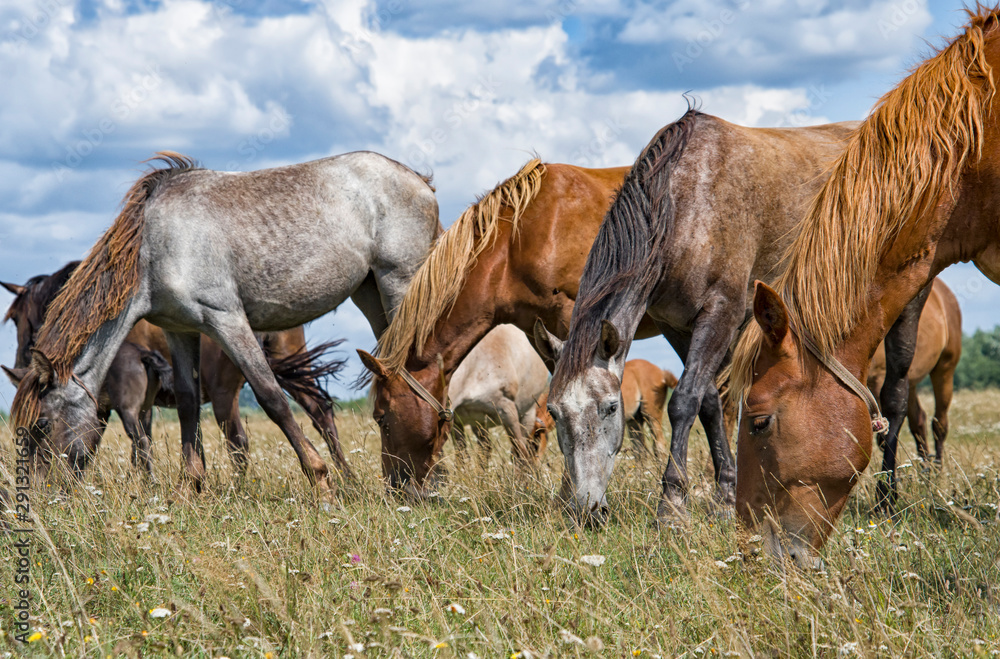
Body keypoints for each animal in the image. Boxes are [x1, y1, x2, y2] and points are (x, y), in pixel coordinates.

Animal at [4, 264, 351, 479]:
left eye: (18, 318)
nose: (22, 361)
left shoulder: (106, 403)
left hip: (226, 393)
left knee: (238, 441)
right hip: (291, 363)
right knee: (320, 412)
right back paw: (348, 479)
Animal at [448, 324, 549, 469]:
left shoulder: (508, 412)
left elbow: (521, 454)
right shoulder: (455, 420)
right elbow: (462, 457)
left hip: (526, 414)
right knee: (485, 449)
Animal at [539, 110, 864, 524]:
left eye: (611, 407)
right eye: (554, 412)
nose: (586, 509)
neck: (686, 203)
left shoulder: (721, 314)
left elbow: (684, 401)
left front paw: (672, 506)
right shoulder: (676, 326)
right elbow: (709, 403)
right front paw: (725, 496)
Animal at [867, 278, 962, 465]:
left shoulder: (878, 379)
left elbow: (883, 436)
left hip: (944, 370)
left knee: (939, 424)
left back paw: (937, 469)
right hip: (909, 382)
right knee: (919, 421)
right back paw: (925, 468)